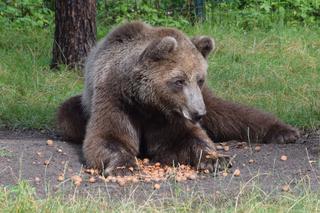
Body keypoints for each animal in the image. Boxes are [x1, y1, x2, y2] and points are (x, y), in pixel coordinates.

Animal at [56, 21, 298, 175]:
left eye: (200, 79)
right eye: (179, 81)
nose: (198, 113)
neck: (146, 102)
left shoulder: (170, 114)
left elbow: (185, 138)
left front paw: (215, 159)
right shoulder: (116, 99)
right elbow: (109, 137)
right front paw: (124, 166)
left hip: (208, 101)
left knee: (231, 113)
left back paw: (285, 132)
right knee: (67, 114)